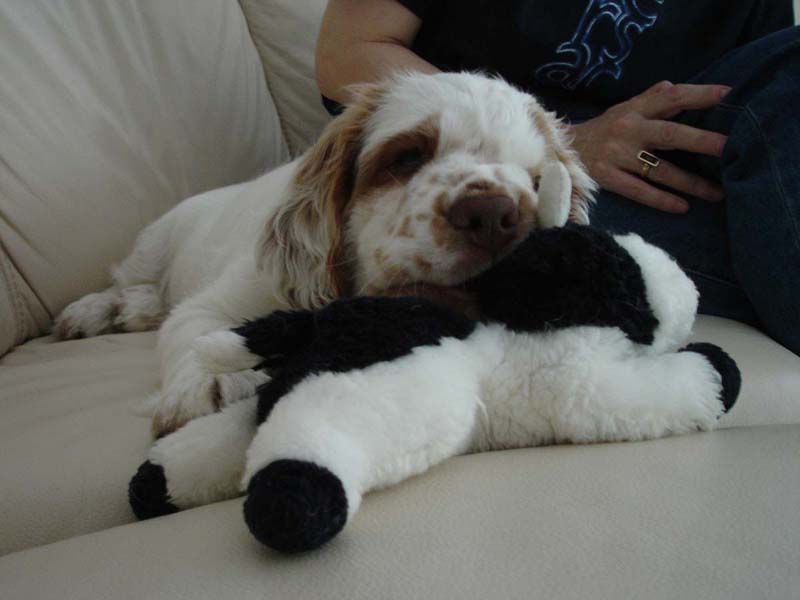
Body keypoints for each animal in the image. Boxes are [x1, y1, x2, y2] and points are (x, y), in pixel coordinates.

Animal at [53, 71, 596, 437]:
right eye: (407, 156)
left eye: (537, 180)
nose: (494, 215)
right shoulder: (219, 302)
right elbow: (193, 335)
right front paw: (201, 389)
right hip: (153, 244)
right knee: (126, 281)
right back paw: (95, 311)